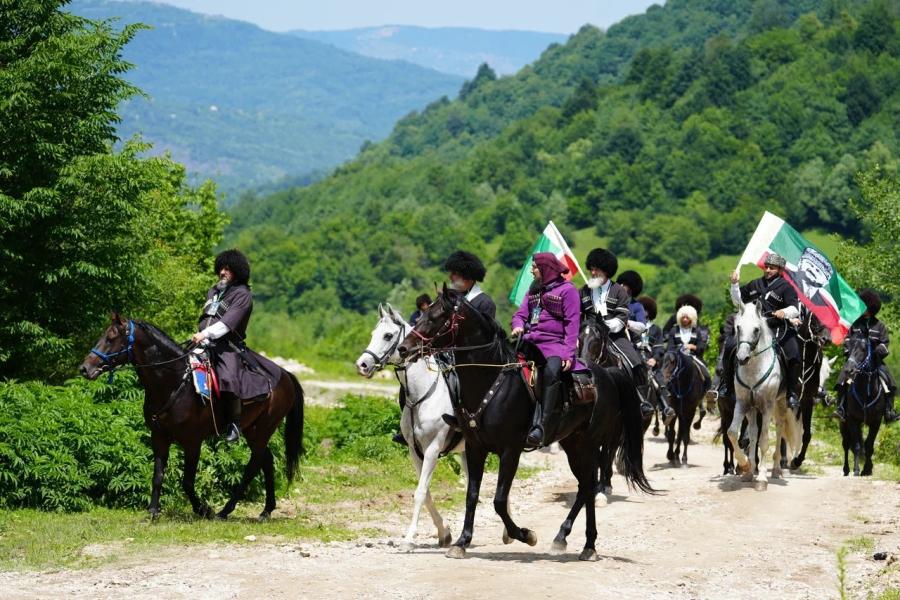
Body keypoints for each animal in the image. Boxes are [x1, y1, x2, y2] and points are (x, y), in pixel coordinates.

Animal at [80, 314, 304, 520]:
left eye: (111, 338)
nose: (85, 368)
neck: (174, 382)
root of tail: (285, 375)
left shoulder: (192, 442)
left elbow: (187, 482)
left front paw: (203, 509)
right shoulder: (159, 437)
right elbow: (158, 476)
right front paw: (153, 511)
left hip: (261, 431)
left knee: (254, 465)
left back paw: (225, 511)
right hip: (253, 431)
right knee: (267, 461)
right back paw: (266, 510)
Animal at [355, 303, 466, 552]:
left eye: (388, 336)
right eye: (373, 334)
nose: (362, 365)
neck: (422, 394)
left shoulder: (433, 449)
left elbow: (420, 492)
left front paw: (408, 539)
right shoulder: (415, 452)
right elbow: (425, 493)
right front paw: (444, 533)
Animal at [398, 286, 652, 561]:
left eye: (436, 317)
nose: (403, 348)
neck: (491, 380)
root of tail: (607, 374)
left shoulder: (511, 450)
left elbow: (499, 500)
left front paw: (524, 534)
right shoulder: (475, 448)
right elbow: (472, 495)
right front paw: (462, 542)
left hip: (591, 445)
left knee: (590, 485)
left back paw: (588, 545)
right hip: (572, 444)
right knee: (585, 487)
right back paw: (569, 539)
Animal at [728, 301, 803, 490]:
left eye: (756, 329)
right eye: (738, 328)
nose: (742, 358)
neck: (754, 369)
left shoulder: (767, 406)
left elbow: (764, 440)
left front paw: (761, 478)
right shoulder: (744, 404)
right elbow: (734, 433)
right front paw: (746, 467)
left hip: (781, 403)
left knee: (779, 429)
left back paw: (776, 470)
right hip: (754, 409)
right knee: (754, 433)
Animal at [840, 336, 886, 477]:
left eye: (864, 349)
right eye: (848, 347)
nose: (848, 370)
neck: (866, 392)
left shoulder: (876, 422)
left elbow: (869, 446)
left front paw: (867, 469)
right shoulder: (852, 420)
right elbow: (856, 446)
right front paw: (856, 470)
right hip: (844, 424)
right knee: (846, 444)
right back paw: (846, 469)